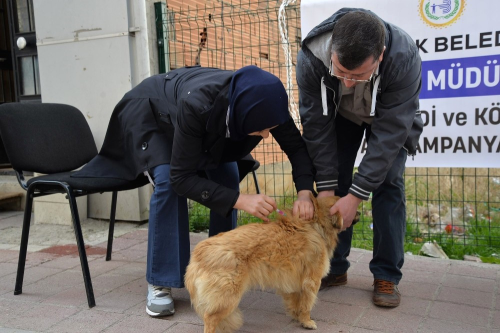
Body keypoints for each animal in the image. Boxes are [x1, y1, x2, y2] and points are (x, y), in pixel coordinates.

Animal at [185, 195, 344, 332]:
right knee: (210, 318)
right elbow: (306, 304)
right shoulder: (311, 281)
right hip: (228, 298)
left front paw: (296, 316)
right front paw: (307, 321)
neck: (315, 225)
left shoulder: (293, 282)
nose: (353, 215)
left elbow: (295, 302)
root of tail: (197, 255)